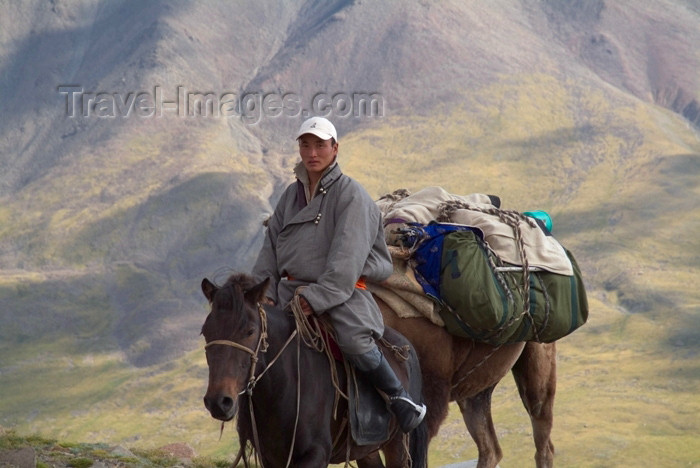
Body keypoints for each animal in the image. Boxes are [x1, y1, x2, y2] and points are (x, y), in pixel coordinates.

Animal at [197, 272, 426, 466]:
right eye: (206, 331)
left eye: (250, 331)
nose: (219, 402)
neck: (283, 387)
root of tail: (405, 347)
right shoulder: (272, 459)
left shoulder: (316, 454)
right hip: (366, 450)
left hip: (398, 445)